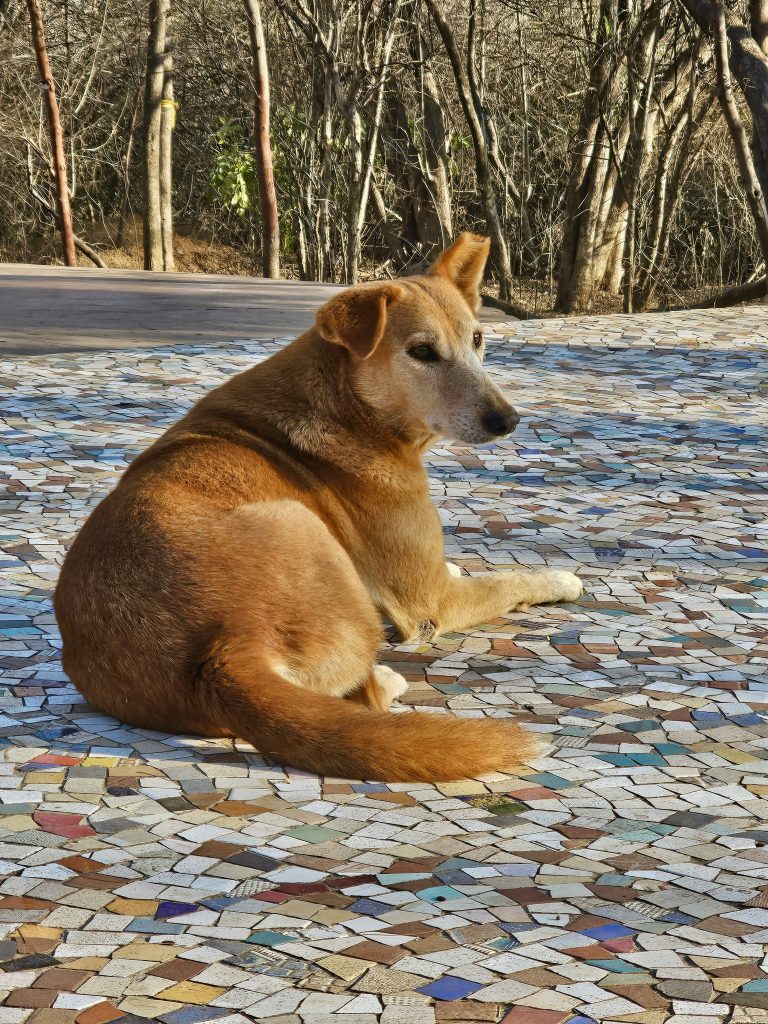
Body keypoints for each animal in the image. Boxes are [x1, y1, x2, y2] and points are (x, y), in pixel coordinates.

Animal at [54, 235, 581, 778]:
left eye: (477, 339)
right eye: (421, 352)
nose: (507, 420)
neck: (349, 404)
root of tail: (218, 652)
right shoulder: (431, 601)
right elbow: (511, 580)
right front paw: (559, 580)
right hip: (301, 521)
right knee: (366, 696)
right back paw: (388, 678)